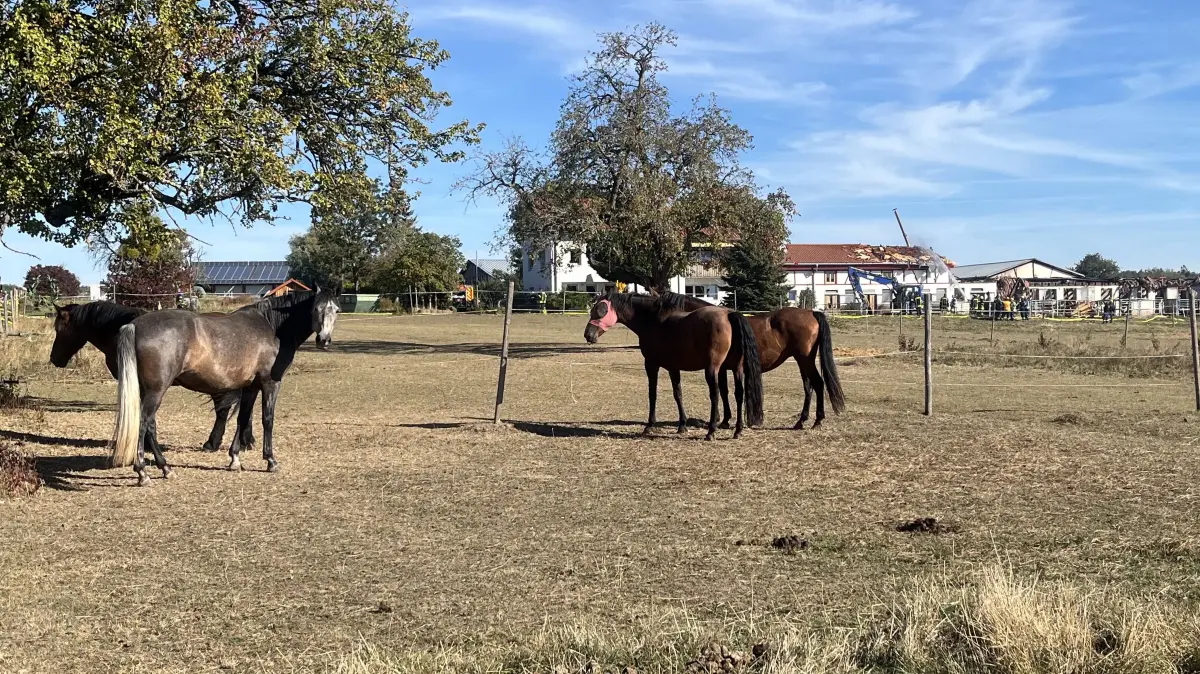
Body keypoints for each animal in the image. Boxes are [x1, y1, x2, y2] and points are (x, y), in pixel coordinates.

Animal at [110, 287, 341, 486]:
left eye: (336, 310)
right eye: (316, 309)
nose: (324, 340)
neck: (272, 327)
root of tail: (135, 325)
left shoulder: (250, 387)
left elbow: (242, 419)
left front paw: (235, 459)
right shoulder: (270, 383)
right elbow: (267, 420)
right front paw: (270, 461)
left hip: (147, 391)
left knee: (150, 426)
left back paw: (166, 468)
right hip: (156, 391)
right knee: (143, 423)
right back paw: (142, 473)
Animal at [583, 291, 763, 440]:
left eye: (601, 310)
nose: (588, 335)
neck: (653, 321)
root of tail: (729, 314)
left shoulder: (651, 365)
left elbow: (653, 394)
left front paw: (650, 426)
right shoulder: (673, 368)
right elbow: (678, 394)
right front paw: (682, 425)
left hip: (713, 370)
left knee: (715, 394)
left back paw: (711, 431)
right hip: (736, 368)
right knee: (739, 394)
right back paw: (738, 430)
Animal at [670, 295, 845, 429]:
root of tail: (811, 313)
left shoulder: (719, 368)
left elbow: (723, 391)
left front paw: (724, 421)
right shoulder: (723, 368)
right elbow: (724, 391)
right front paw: (725, 420)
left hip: (805, 360)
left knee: (818, 384)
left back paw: (817, 421)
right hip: (802, 361)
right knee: (808, 387)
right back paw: (801, 421)